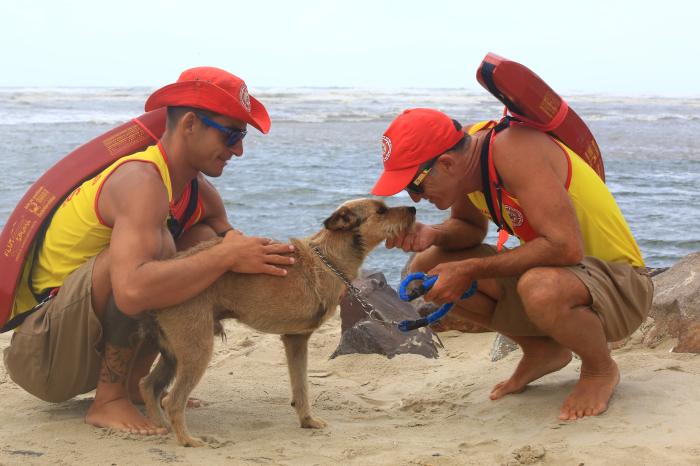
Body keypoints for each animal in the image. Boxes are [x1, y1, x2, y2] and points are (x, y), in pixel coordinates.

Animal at [140, 198, 416, 446]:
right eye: (381, 211)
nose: (414, 208)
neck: (330, 258)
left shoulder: (296, 340)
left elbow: (301, 386)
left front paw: (307, 421)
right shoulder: (297, 339)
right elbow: (303, 385)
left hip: (175, 353)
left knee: (148, 385)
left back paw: (162, 427)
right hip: (198, 349)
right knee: (172, 400)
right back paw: (188, 440)